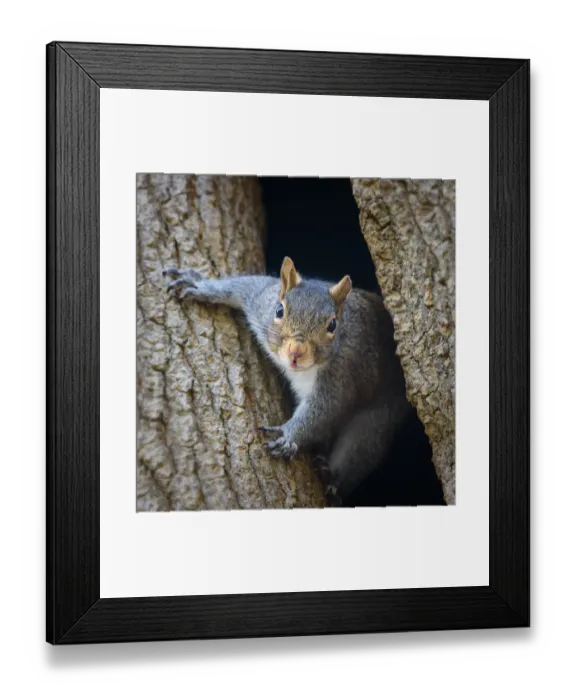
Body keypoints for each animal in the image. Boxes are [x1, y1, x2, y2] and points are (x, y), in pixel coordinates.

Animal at [162, 257, 411, 501]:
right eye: (279, 310)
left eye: (332, 324)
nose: (296, 351)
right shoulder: (261, 300)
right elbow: (242, 286)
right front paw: (199, 285)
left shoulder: (343, 372)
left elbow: (324, 410)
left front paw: (288, 436)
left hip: (376, 420)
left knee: (360, 450)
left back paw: (332, 480)